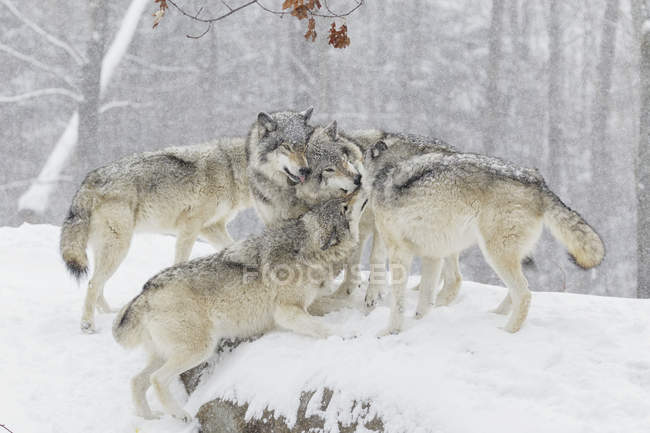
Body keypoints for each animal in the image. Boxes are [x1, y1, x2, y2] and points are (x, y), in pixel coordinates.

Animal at [61, 109, 314, 332]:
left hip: (110, 248)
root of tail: (88, 180)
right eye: (287, 146)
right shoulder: (191, 226)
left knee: (97, 283)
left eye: (304, 147)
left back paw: (107, 313)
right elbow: (181, 258)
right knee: (93, 283)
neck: (232, 172)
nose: (306, 170)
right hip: (119, 246)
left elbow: (229, 247)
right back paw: (88, 325)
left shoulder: (212, 227)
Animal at [113, 191, 368, 420]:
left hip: (166, 354)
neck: (306, 252)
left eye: (344, 198)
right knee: (156, 379)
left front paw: (363, 308)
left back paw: (148, 417)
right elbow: (323, 327)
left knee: (136, 381)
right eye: (345, 206)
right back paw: (180, 415)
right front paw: (348, 334)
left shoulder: (309, 304)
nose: (361, 186)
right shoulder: (287, 312)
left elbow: (337, 303)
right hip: (200, 349)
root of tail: (145, 291)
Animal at [364, 139, 604, 334]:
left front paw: (390, 331)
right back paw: (496, 315)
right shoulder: (433, 256)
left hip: (494, 253)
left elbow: (398, 301)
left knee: (524, 294)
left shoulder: (399, 253)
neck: (386, 169)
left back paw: (507, 331)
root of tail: (538, 181)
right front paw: (419, 323)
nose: (357, 181)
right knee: (520, 290)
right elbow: (425, 299)